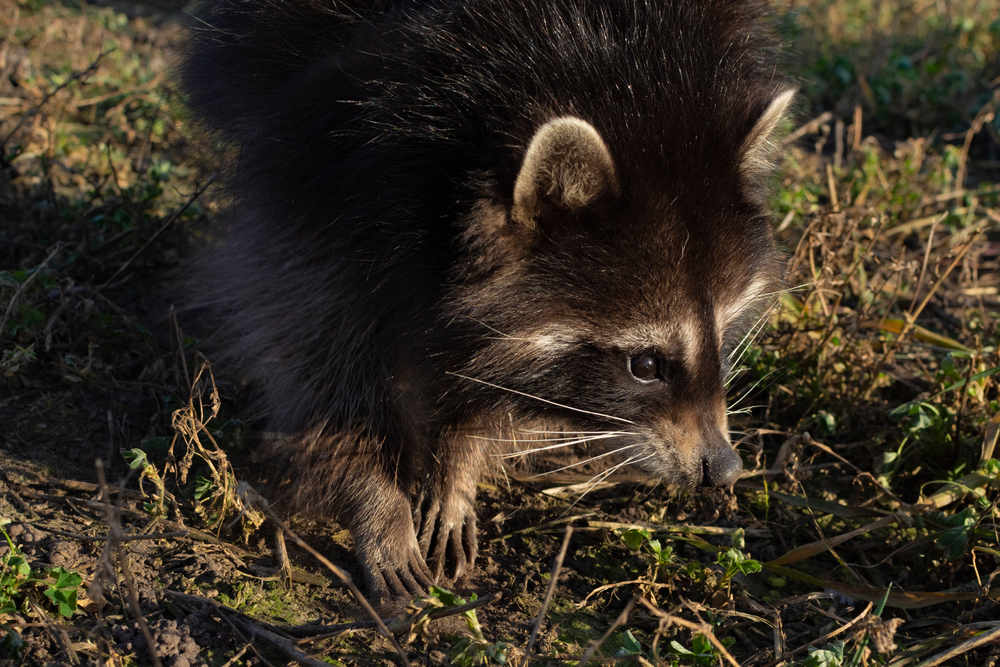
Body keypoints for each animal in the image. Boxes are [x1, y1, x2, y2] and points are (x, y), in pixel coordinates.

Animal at [182, 0, 796, 596]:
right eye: (645, 365)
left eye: (723, 334)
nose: (724, 468)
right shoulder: (332, 168)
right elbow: (314, 342)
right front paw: (373, 499)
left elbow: (485, 377)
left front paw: (458, 463)